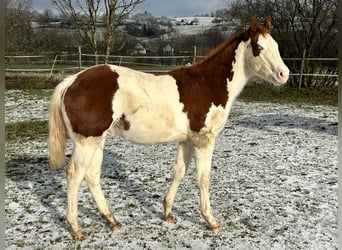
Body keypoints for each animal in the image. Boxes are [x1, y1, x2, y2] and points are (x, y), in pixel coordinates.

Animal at [48, 16, 288, 240]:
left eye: (277, 45)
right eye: (259, 47)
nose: (283, 75)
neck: (207, 84)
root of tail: (71, 81)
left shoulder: (187, 140)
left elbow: (179, 171)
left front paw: (168, 213)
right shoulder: (204, 139)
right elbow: (204, 177)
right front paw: (211, 221)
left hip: (98, 140)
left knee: (92, 176)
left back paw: (111, 220)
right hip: (86, 142)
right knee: (75, 175)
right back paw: (76, 228)